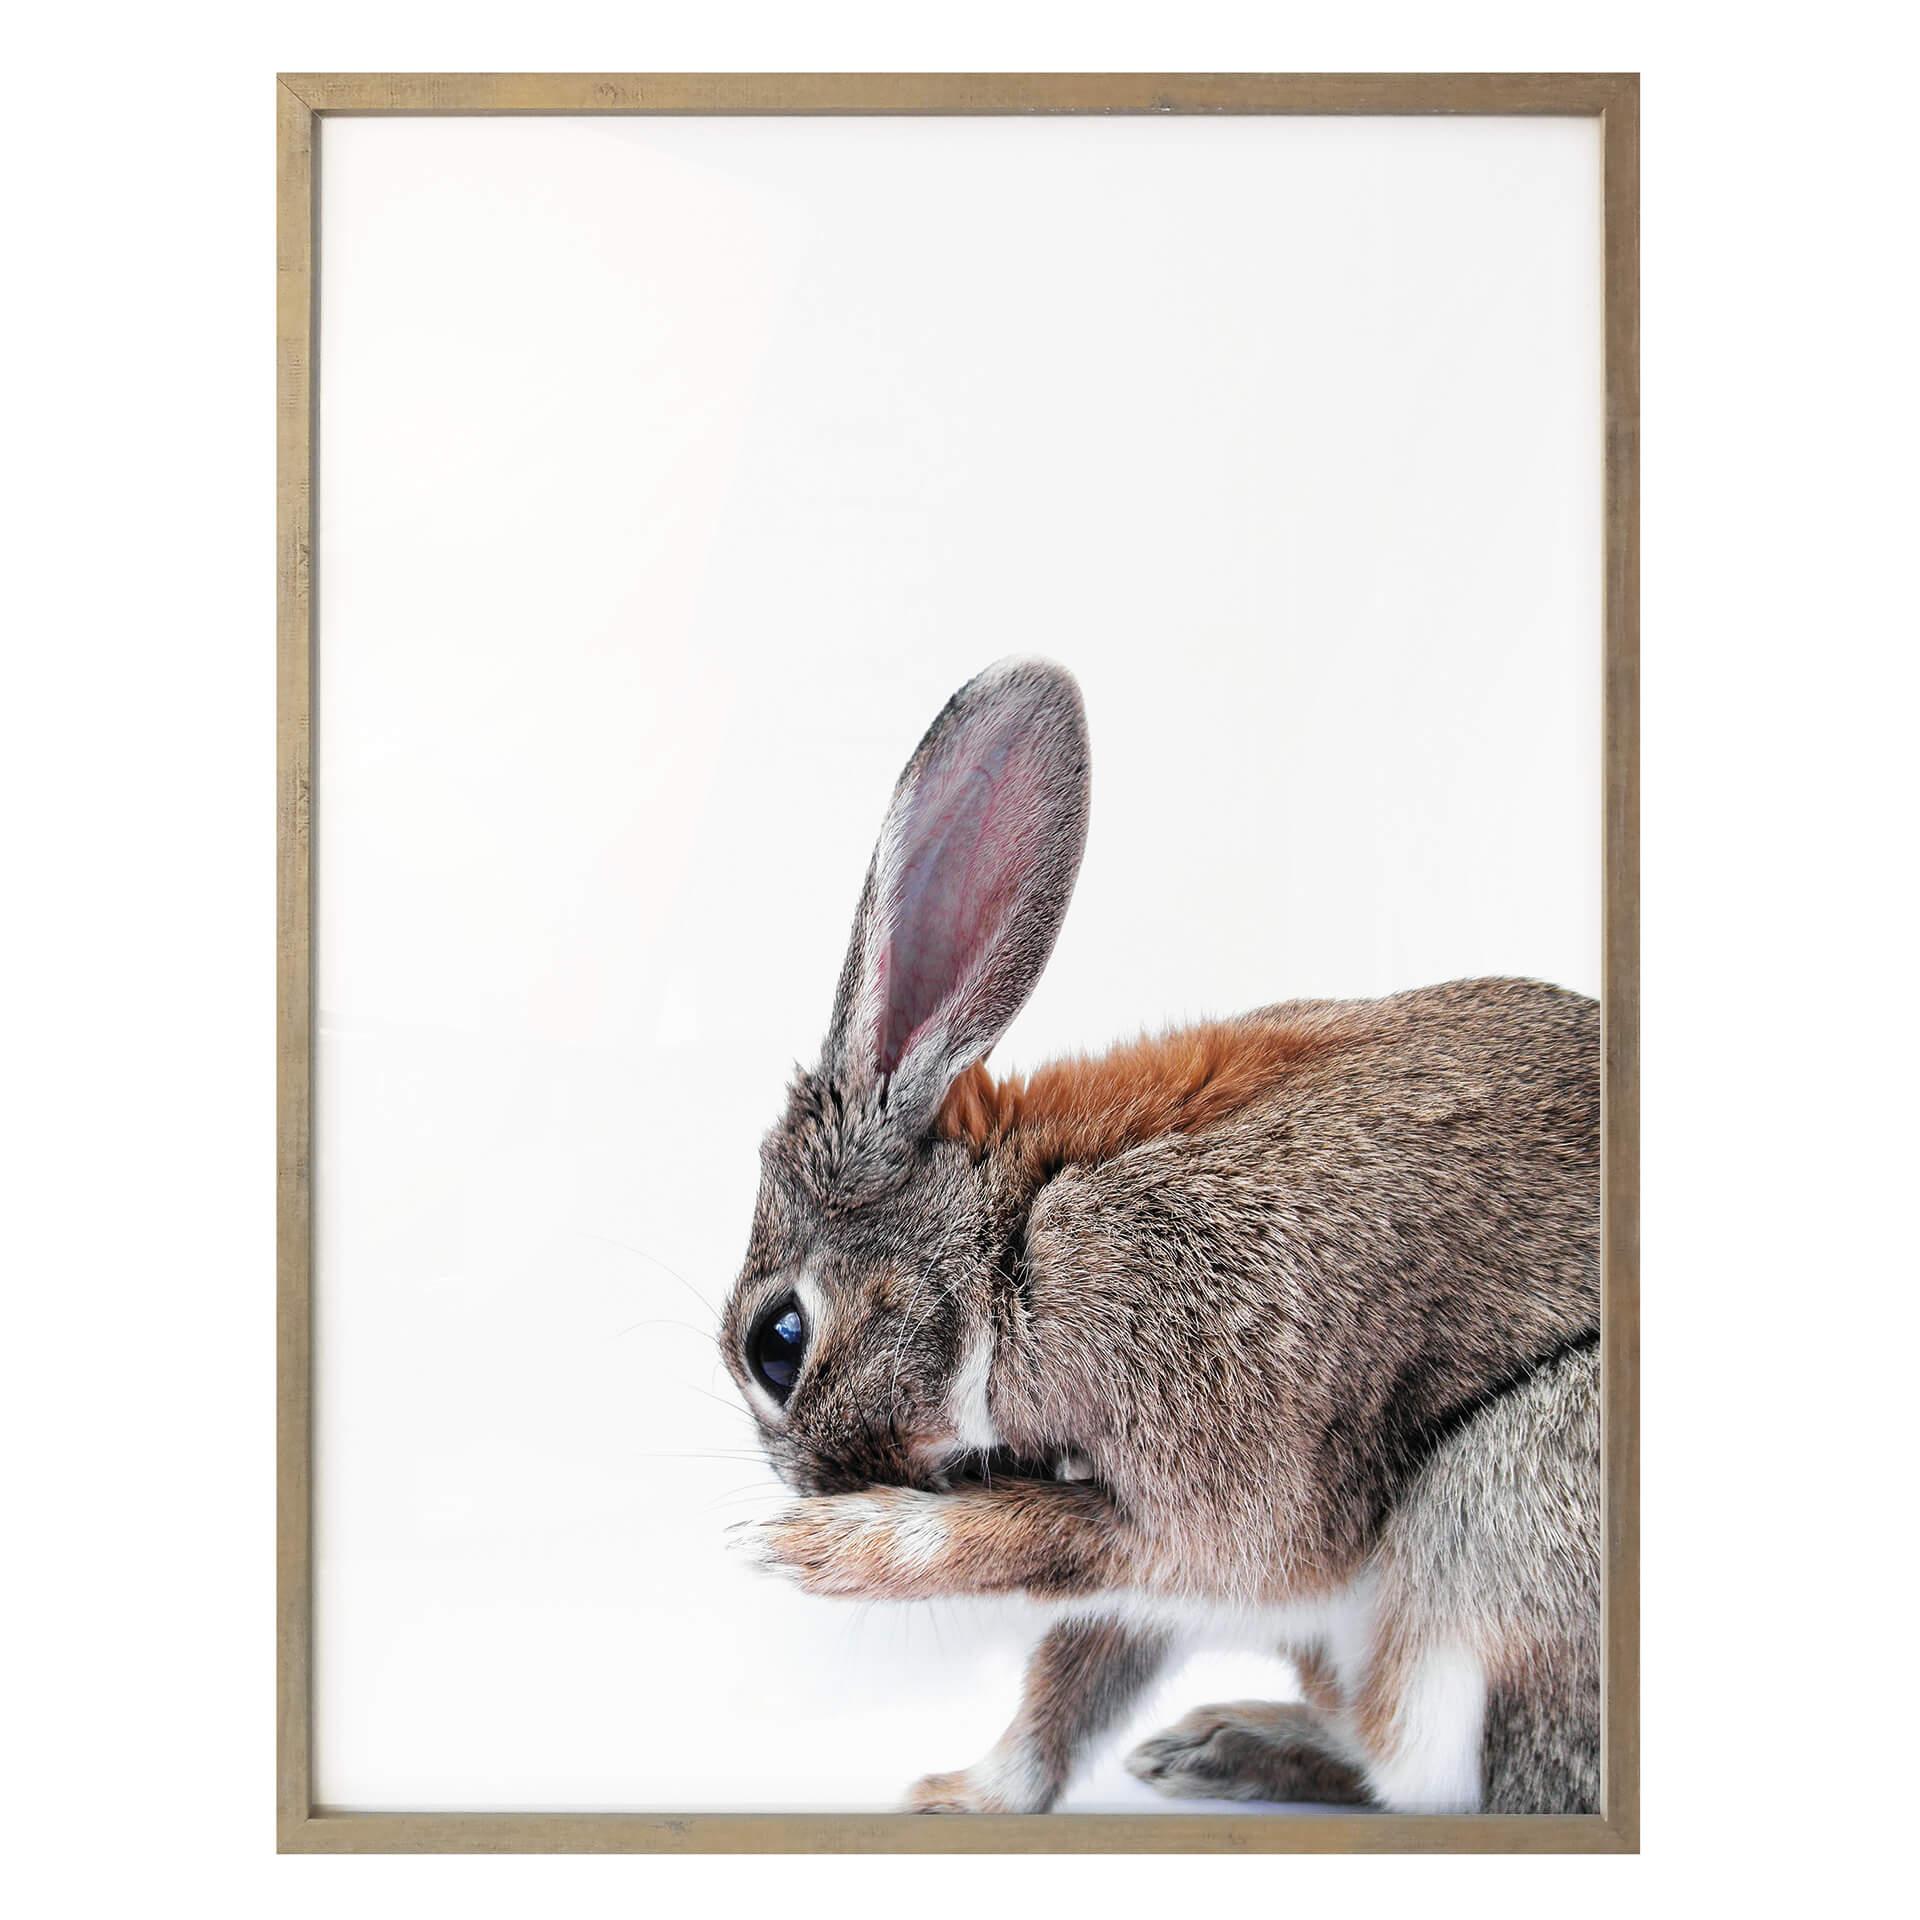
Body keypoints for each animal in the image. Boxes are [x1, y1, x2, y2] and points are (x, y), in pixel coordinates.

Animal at [721, 658, 1600, 1816]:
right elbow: (1075, 1672)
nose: (808, 1485)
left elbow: (1053, 1549)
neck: (1011, 1245)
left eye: (776, 1343)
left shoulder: (1205, 1495)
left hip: (1506, 1494)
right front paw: (962, 1798)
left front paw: (822, 1550)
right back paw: (1211, 1746)